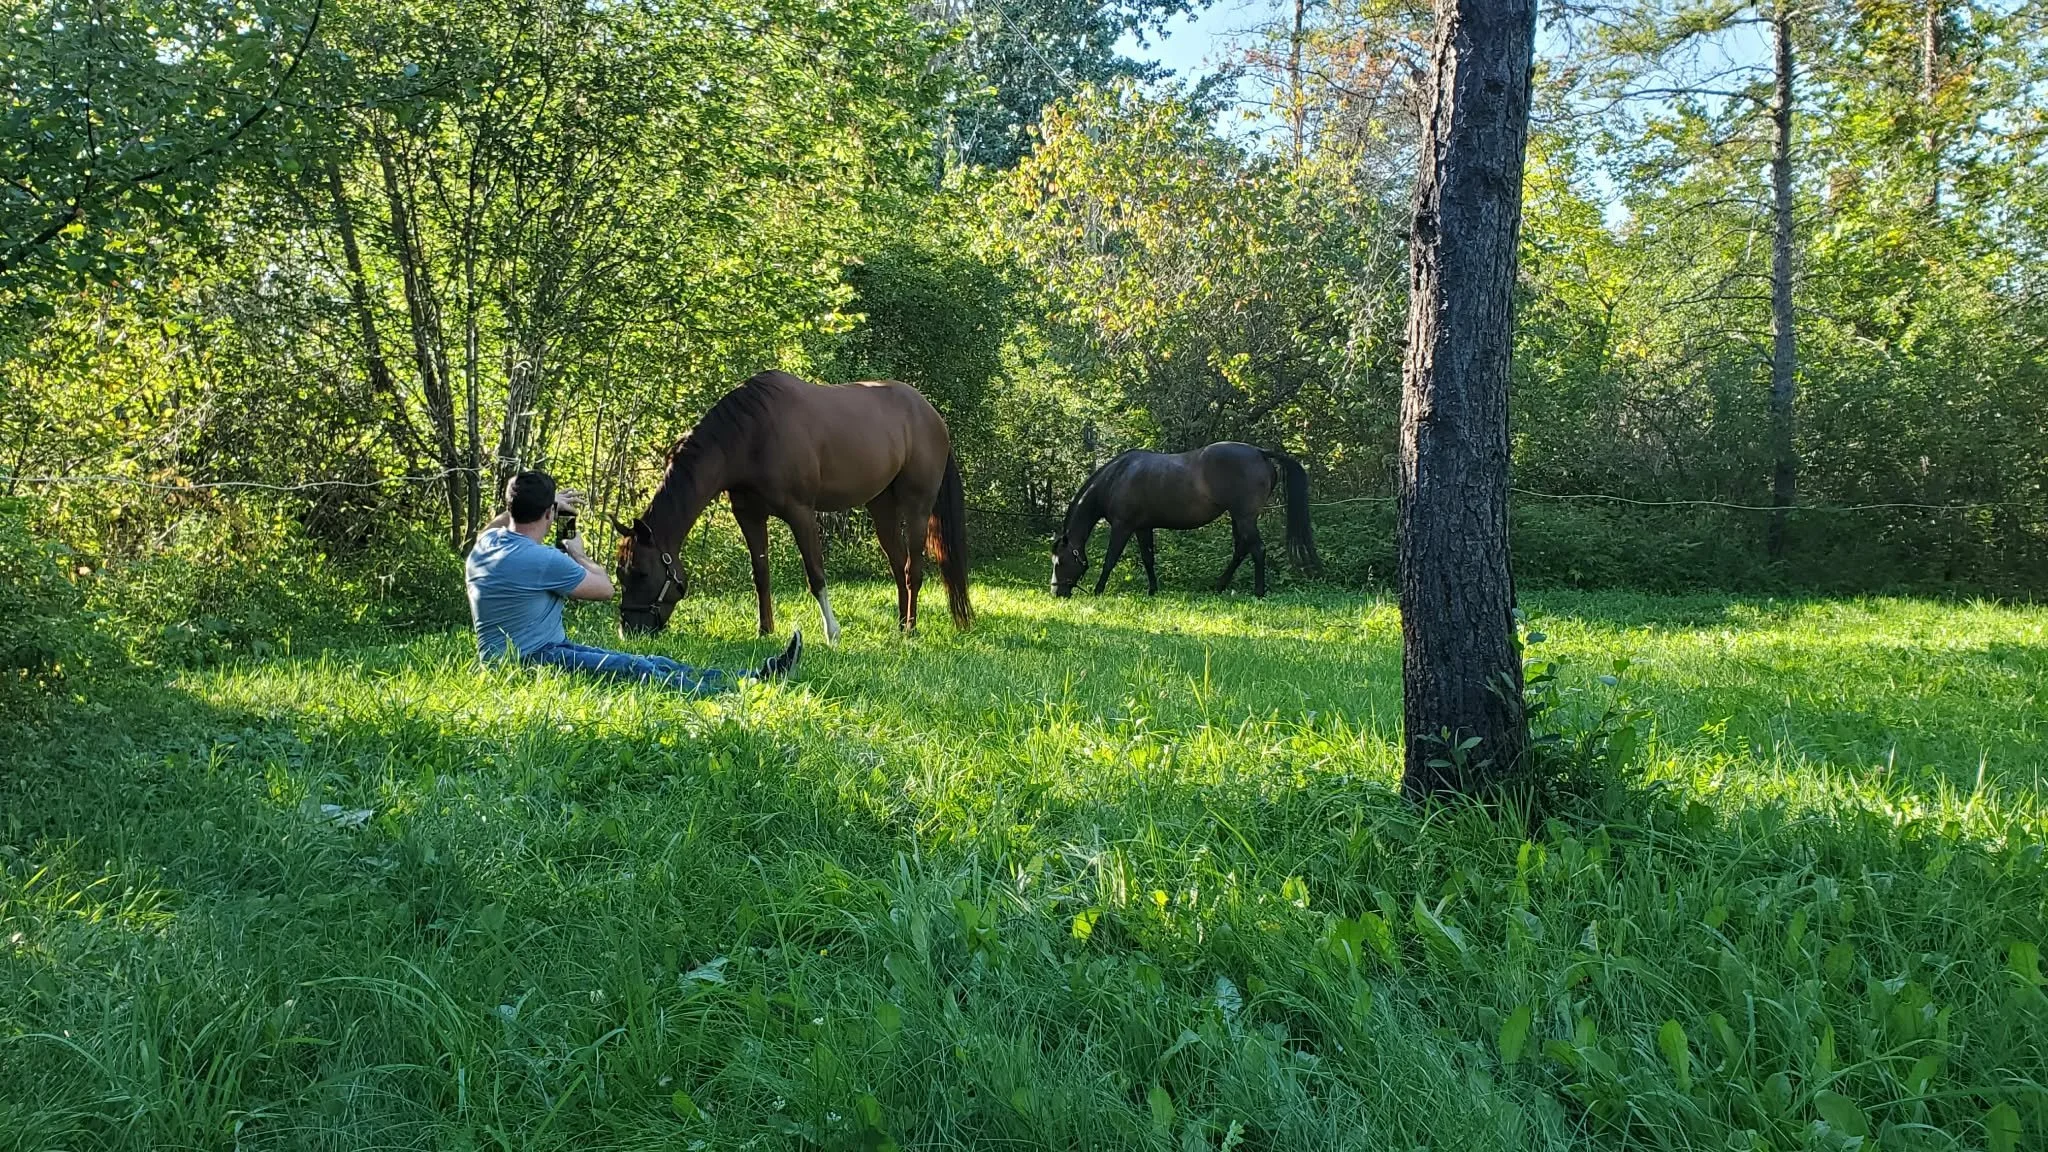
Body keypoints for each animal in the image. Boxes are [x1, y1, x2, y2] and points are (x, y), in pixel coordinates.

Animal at [613, 370, 971, 644]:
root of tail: (932, 415)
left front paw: (832, 633)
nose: (628, 631)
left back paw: (910, 629)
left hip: (916, 508)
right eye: (620, 574)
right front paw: (765, 631)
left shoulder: (800, 513)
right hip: (881, 507)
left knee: (913, 570)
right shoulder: (749, 516)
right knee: (898, 565)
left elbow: (816, 574)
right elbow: (761, 575)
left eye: (642, 572)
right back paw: (899, 626)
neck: (751, 435)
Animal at [1051, 443, 1318, 598]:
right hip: (1238, 517)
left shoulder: (1122, 527)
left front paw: (1098, 590)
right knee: (1241, 549)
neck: (1117, 477)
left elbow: (1110, 560)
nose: (1057, 593)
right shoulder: (1143, 528)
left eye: (1060, 561)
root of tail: (1260, 453)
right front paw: (1153, 590)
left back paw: (1258, 592)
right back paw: (1219, 587)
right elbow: (1148, 559)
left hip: (1244, 517)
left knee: (1257, 550)